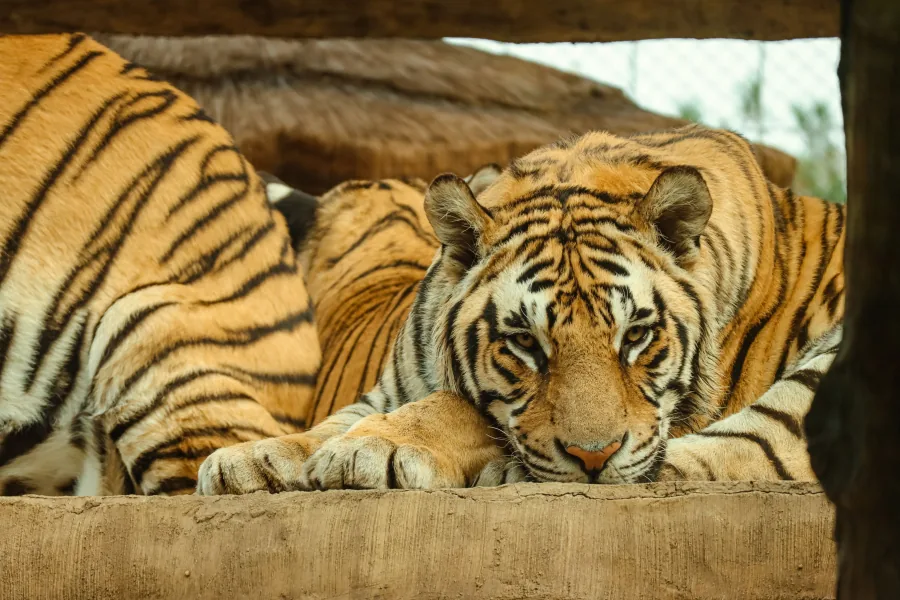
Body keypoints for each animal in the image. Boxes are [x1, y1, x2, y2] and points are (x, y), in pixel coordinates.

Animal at [198, 125, 845, 494]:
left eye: (636, 335)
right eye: (526, 343)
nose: (593, 458)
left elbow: (457, 408)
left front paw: (368, 450)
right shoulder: (387, 389)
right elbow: (328, 423)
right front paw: (248, 461)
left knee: (742, 452)